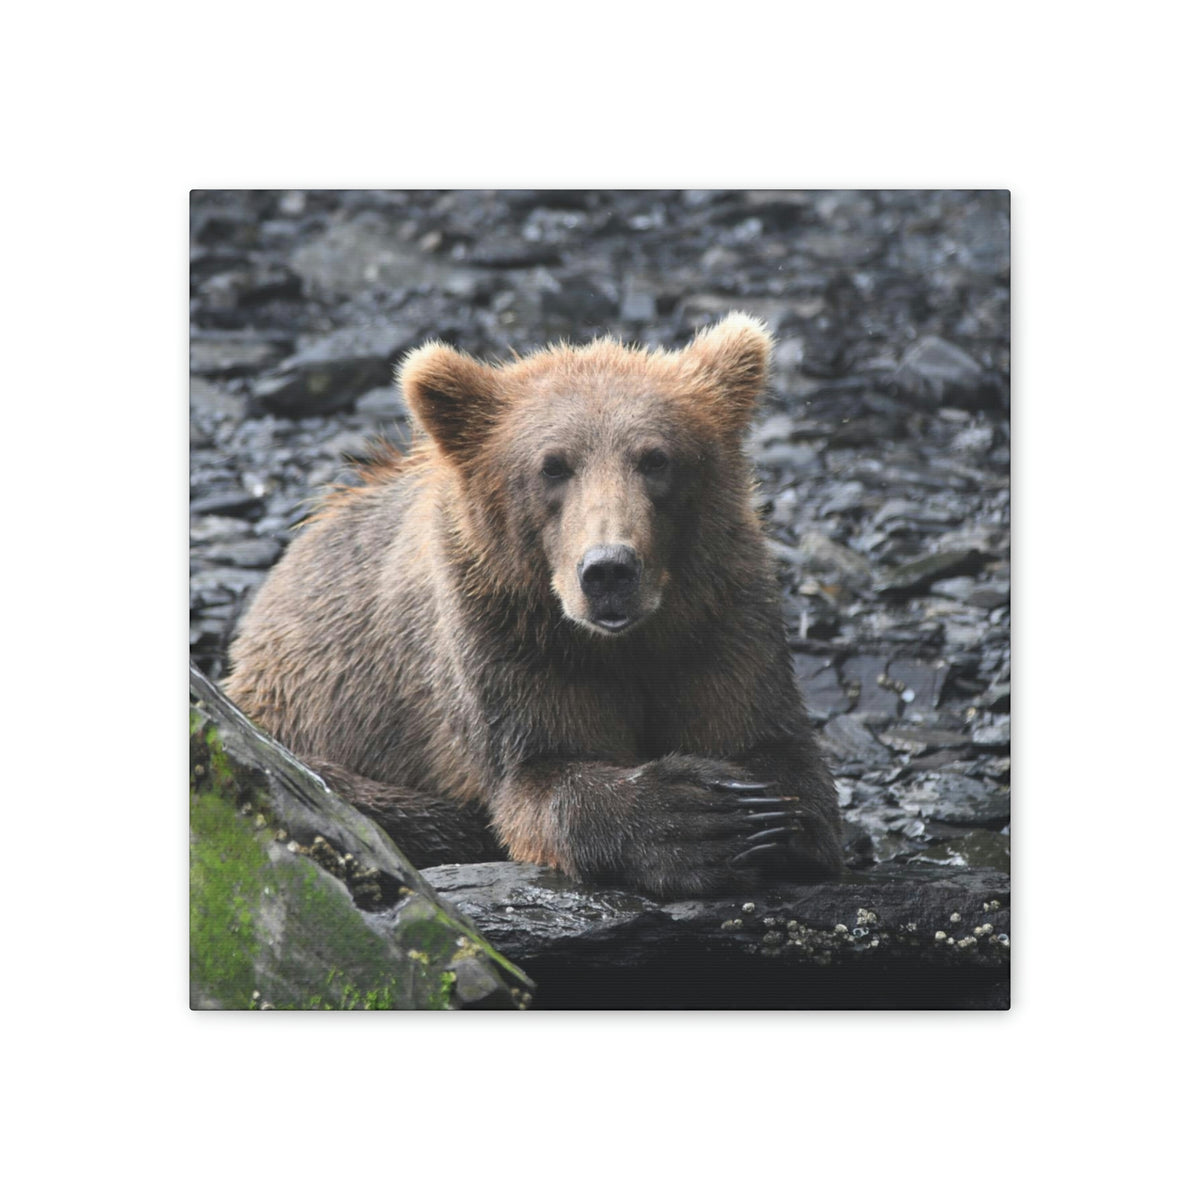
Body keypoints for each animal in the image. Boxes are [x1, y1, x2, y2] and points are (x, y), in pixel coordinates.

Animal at [223, 313, 843, 898]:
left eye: (656, 459)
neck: (622, 642)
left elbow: (771, 745)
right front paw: (695, 818)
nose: (609, 570)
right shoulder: (506, 637)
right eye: (553, 465)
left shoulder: (720, 617)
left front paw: (761, 815)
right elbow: (539, 775)